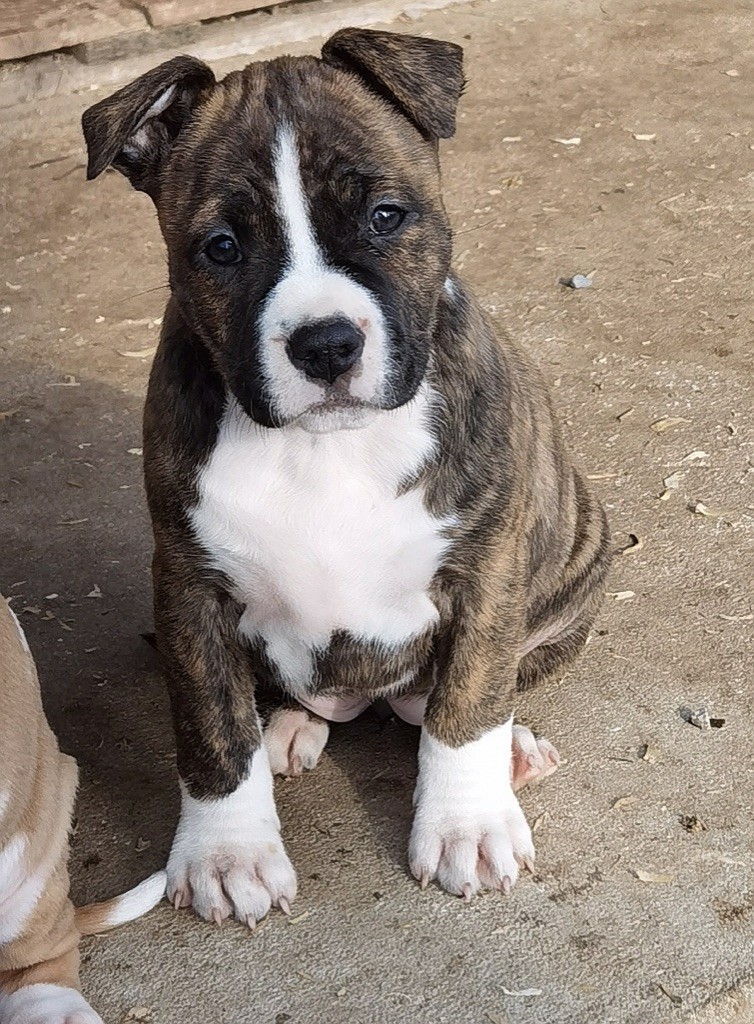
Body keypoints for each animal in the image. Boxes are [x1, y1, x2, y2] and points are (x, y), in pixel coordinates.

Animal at [81, 28, 611, 926]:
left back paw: (507, 752)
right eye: (221, 248)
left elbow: (467, 702)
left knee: (450, 697)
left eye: (384, 216)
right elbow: (209, 728)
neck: (321, 448)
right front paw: (227, 853)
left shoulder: (486, 574)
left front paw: (466, 824)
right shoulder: (187, 585)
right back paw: (289, 726)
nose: (325, 344)